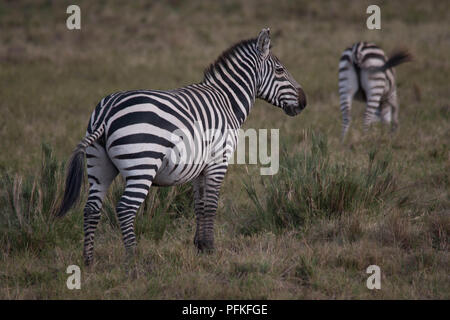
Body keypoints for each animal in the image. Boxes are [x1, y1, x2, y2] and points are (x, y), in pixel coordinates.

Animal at [55, 28, 306, 268]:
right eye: (280, 70)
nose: (304, 101)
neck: (227, 101)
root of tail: (107, 114)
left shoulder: (200, 165)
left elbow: (199, 205)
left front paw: (200, 245)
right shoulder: (218, 161)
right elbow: (211, 205)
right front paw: (211, 248)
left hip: (99, 166)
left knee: (91, 209)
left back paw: (89, 260)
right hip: (141, 165)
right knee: (125, 209)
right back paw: (133, 260)